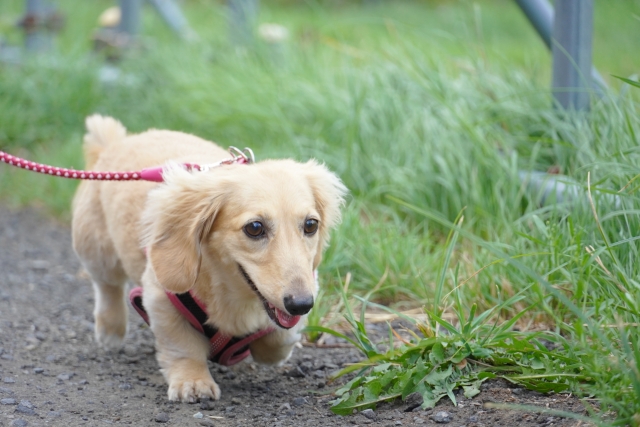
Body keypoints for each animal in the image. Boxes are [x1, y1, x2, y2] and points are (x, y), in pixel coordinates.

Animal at [72, 115, 348, 402]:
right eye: (255, 228)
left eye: (311, 225)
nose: (301, 304)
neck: (234, 295)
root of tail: (114, 143)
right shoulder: (159, 296)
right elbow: (182, 346)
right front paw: (193, 381)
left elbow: (280, 338)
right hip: (96, 249)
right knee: (108, 287)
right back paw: (110, 330)